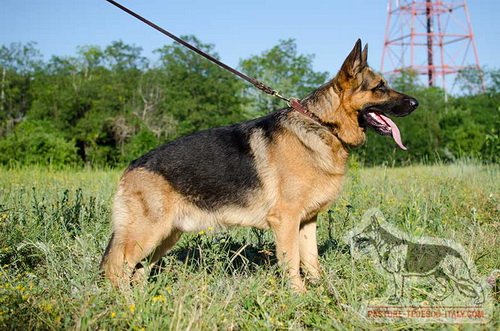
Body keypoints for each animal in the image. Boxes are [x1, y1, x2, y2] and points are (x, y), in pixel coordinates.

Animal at [100, 40, 418, 292]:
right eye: (380, 88)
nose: (416, 103)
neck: (322, 125)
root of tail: (131, 166)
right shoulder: (285, 221)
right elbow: (292, 264)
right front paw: (299, 298)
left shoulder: (307, 222)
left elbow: (311, 261)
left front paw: (321, 293)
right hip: (146, 235)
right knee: (116, 268)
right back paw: (121, 306)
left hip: (166, 236)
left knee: (138, 272)